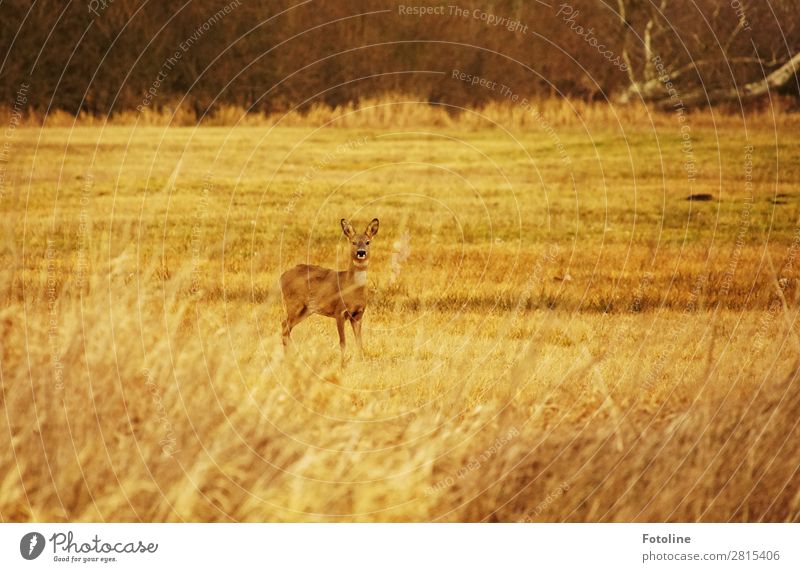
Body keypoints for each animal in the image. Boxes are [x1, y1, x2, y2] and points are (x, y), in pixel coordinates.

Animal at [282, 217, 382, 360]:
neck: (351, 289)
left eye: (367, 242)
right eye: (353, 242)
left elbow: (359, 343)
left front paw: (360, 360)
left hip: (306, 310)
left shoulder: (358, 315)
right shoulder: (339, 312)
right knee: (284, 326)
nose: (361, 252)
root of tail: (282, 277)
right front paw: (343, 362)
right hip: (293, 304)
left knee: (287, 328)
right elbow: (343, 342)